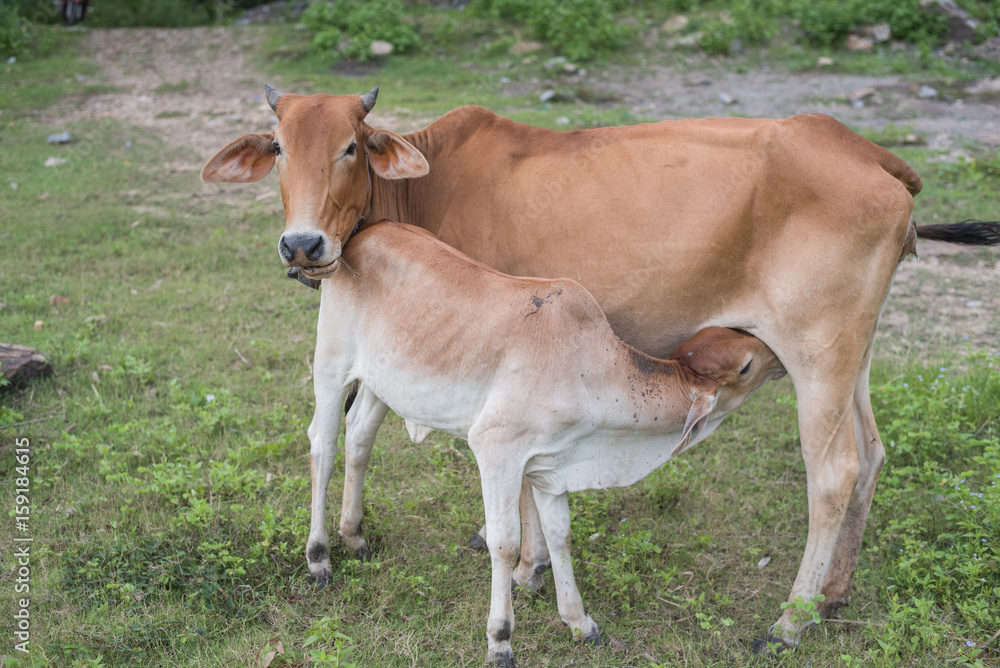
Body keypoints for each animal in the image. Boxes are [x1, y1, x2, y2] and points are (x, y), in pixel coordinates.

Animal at [300, 218, 784, 664]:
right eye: (745, 365)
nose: (779, 357)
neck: (593, 370)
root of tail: (367, 230)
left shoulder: (552, 465)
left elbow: (559, 536)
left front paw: (580, 622)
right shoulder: (496, 448)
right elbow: (505, 544)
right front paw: (500, 640)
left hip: (381, 383)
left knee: (359, 438)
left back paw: (354, 536)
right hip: (331, 365)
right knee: (323, 445)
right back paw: (320, 556)